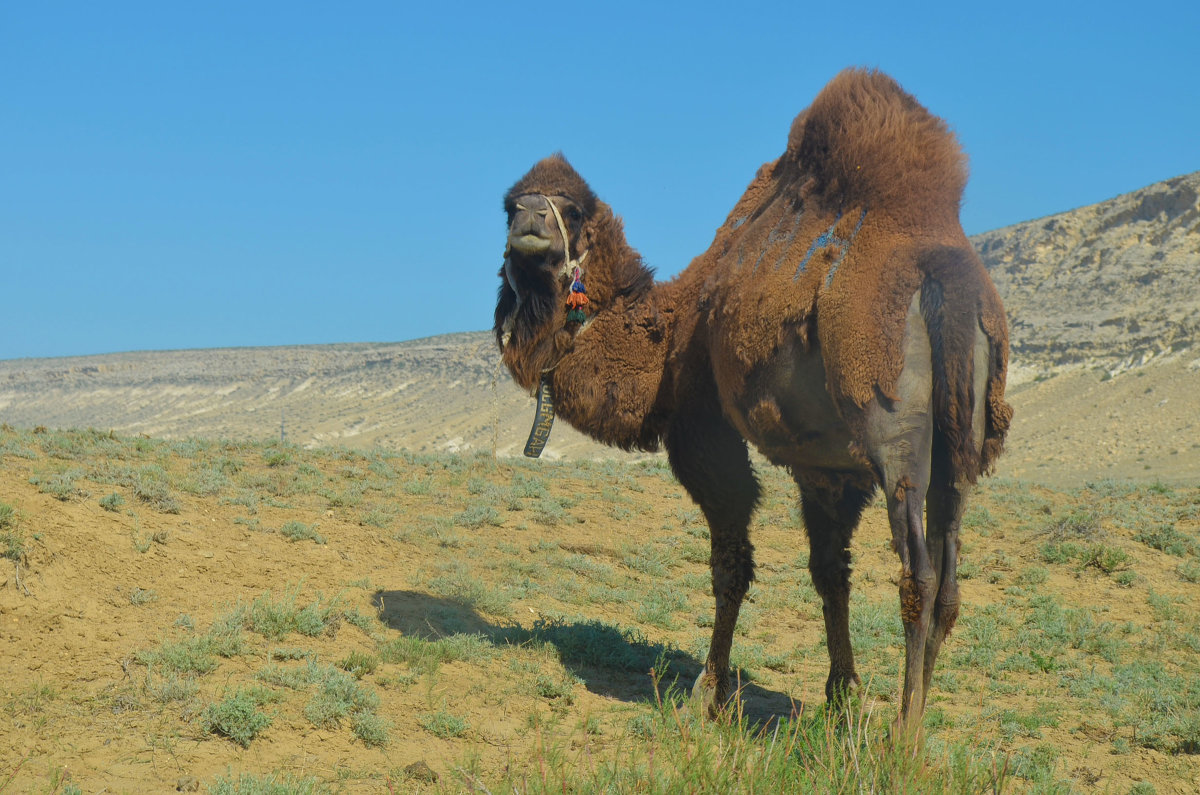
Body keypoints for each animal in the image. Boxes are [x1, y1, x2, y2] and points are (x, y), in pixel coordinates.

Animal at [492, 69, 1008, 734]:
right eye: (508, 204)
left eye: (573, 210)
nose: (529, 219)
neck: (670, 331)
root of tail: (948, 278)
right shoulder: (827, 465)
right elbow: (830, 571)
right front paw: (841, 699)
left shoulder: (703, 426)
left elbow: (731, 563)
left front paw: (706, 693)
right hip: (964, 443)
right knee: (948, 578)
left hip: (893, 430)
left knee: (915, 571)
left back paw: (903, 737)